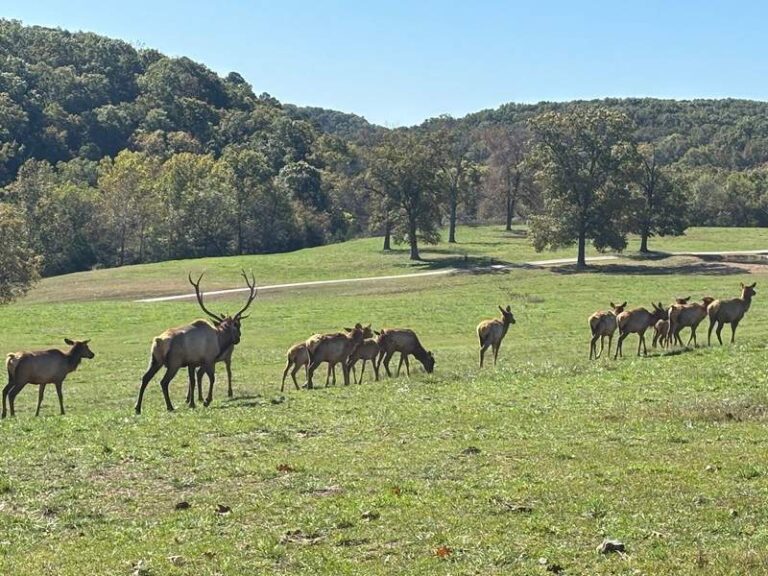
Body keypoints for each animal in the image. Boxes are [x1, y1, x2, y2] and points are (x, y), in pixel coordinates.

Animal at [134, 271, 257, 414]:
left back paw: (138, 408)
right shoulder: (209, 359)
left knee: (145, 378)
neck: (219, 338)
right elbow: (212, 378)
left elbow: (192, 381)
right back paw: (170, 406)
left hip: (155, 360)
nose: (238, 339)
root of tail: (158, 341)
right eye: (237, 325)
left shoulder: (191, 363)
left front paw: (192, 403)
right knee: (163, 382)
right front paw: (206, 401)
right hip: (174, 363)